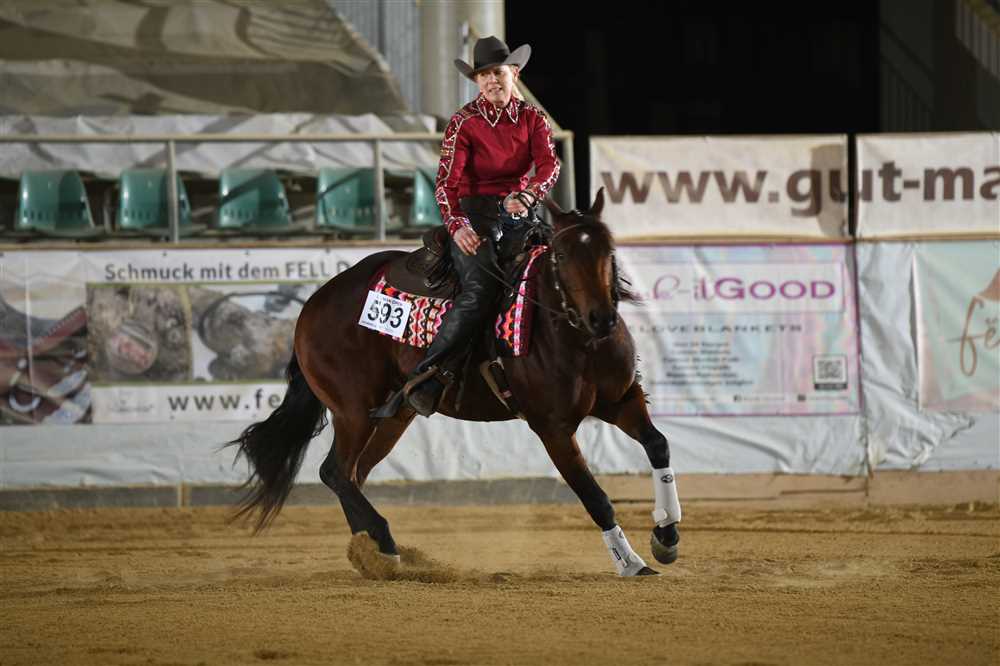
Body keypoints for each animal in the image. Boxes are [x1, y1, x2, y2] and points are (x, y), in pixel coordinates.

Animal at [230, 188, 682, 576]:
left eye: (609, 250)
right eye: (563, 254)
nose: (602, 318)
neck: (575, 338)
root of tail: (314, 304)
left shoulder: (622, 400)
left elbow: (658, 445)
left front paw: (666, 535)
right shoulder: (552, 428)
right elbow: (595, 497)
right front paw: (631, 562)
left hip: (394, 415)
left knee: (353, 474)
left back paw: (369, 551)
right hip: (352, 411)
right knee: (336, 473)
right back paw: (385, 547)